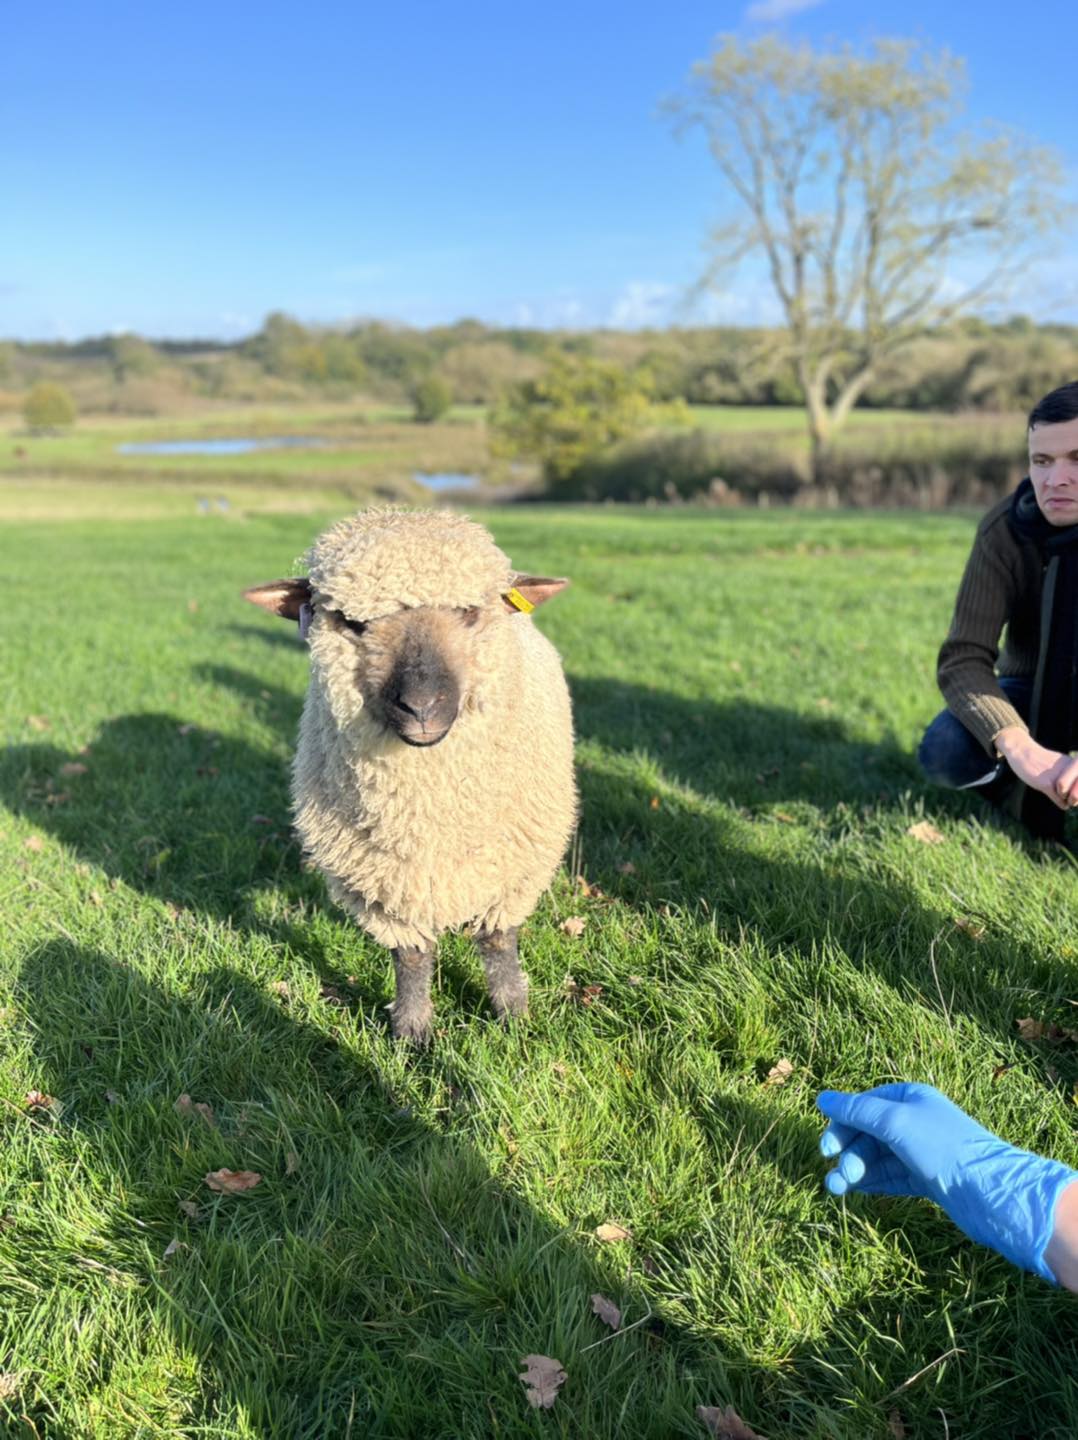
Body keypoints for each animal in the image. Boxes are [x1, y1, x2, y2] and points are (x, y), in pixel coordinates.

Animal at [244, 508, 577, 1043]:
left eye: (469, 612)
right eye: (353, 622)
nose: (420, 707)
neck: (431, 812)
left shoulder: (516, 866)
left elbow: (499, 941)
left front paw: (512, 1015)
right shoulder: (380, 879)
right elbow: (411, 955)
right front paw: (413, 1031)